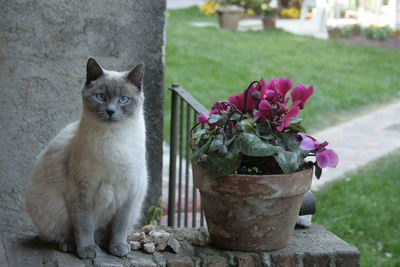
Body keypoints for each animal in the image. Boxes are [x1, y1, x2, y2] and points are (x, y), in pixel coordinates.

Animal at [26, 58, 148, 260]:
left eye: (123, 100)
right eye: (101, 97)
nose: (110, 111)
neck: (113, 139)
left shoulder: (129, 191)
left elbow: (120, 227)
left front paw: (118, 247)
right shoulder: (82, 191)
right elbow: (84, 226)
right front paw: (87, 251)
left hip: (135, 208)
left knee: (107, 232)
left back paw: (111, 243)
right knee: (62, 234)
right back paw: (70, 245)